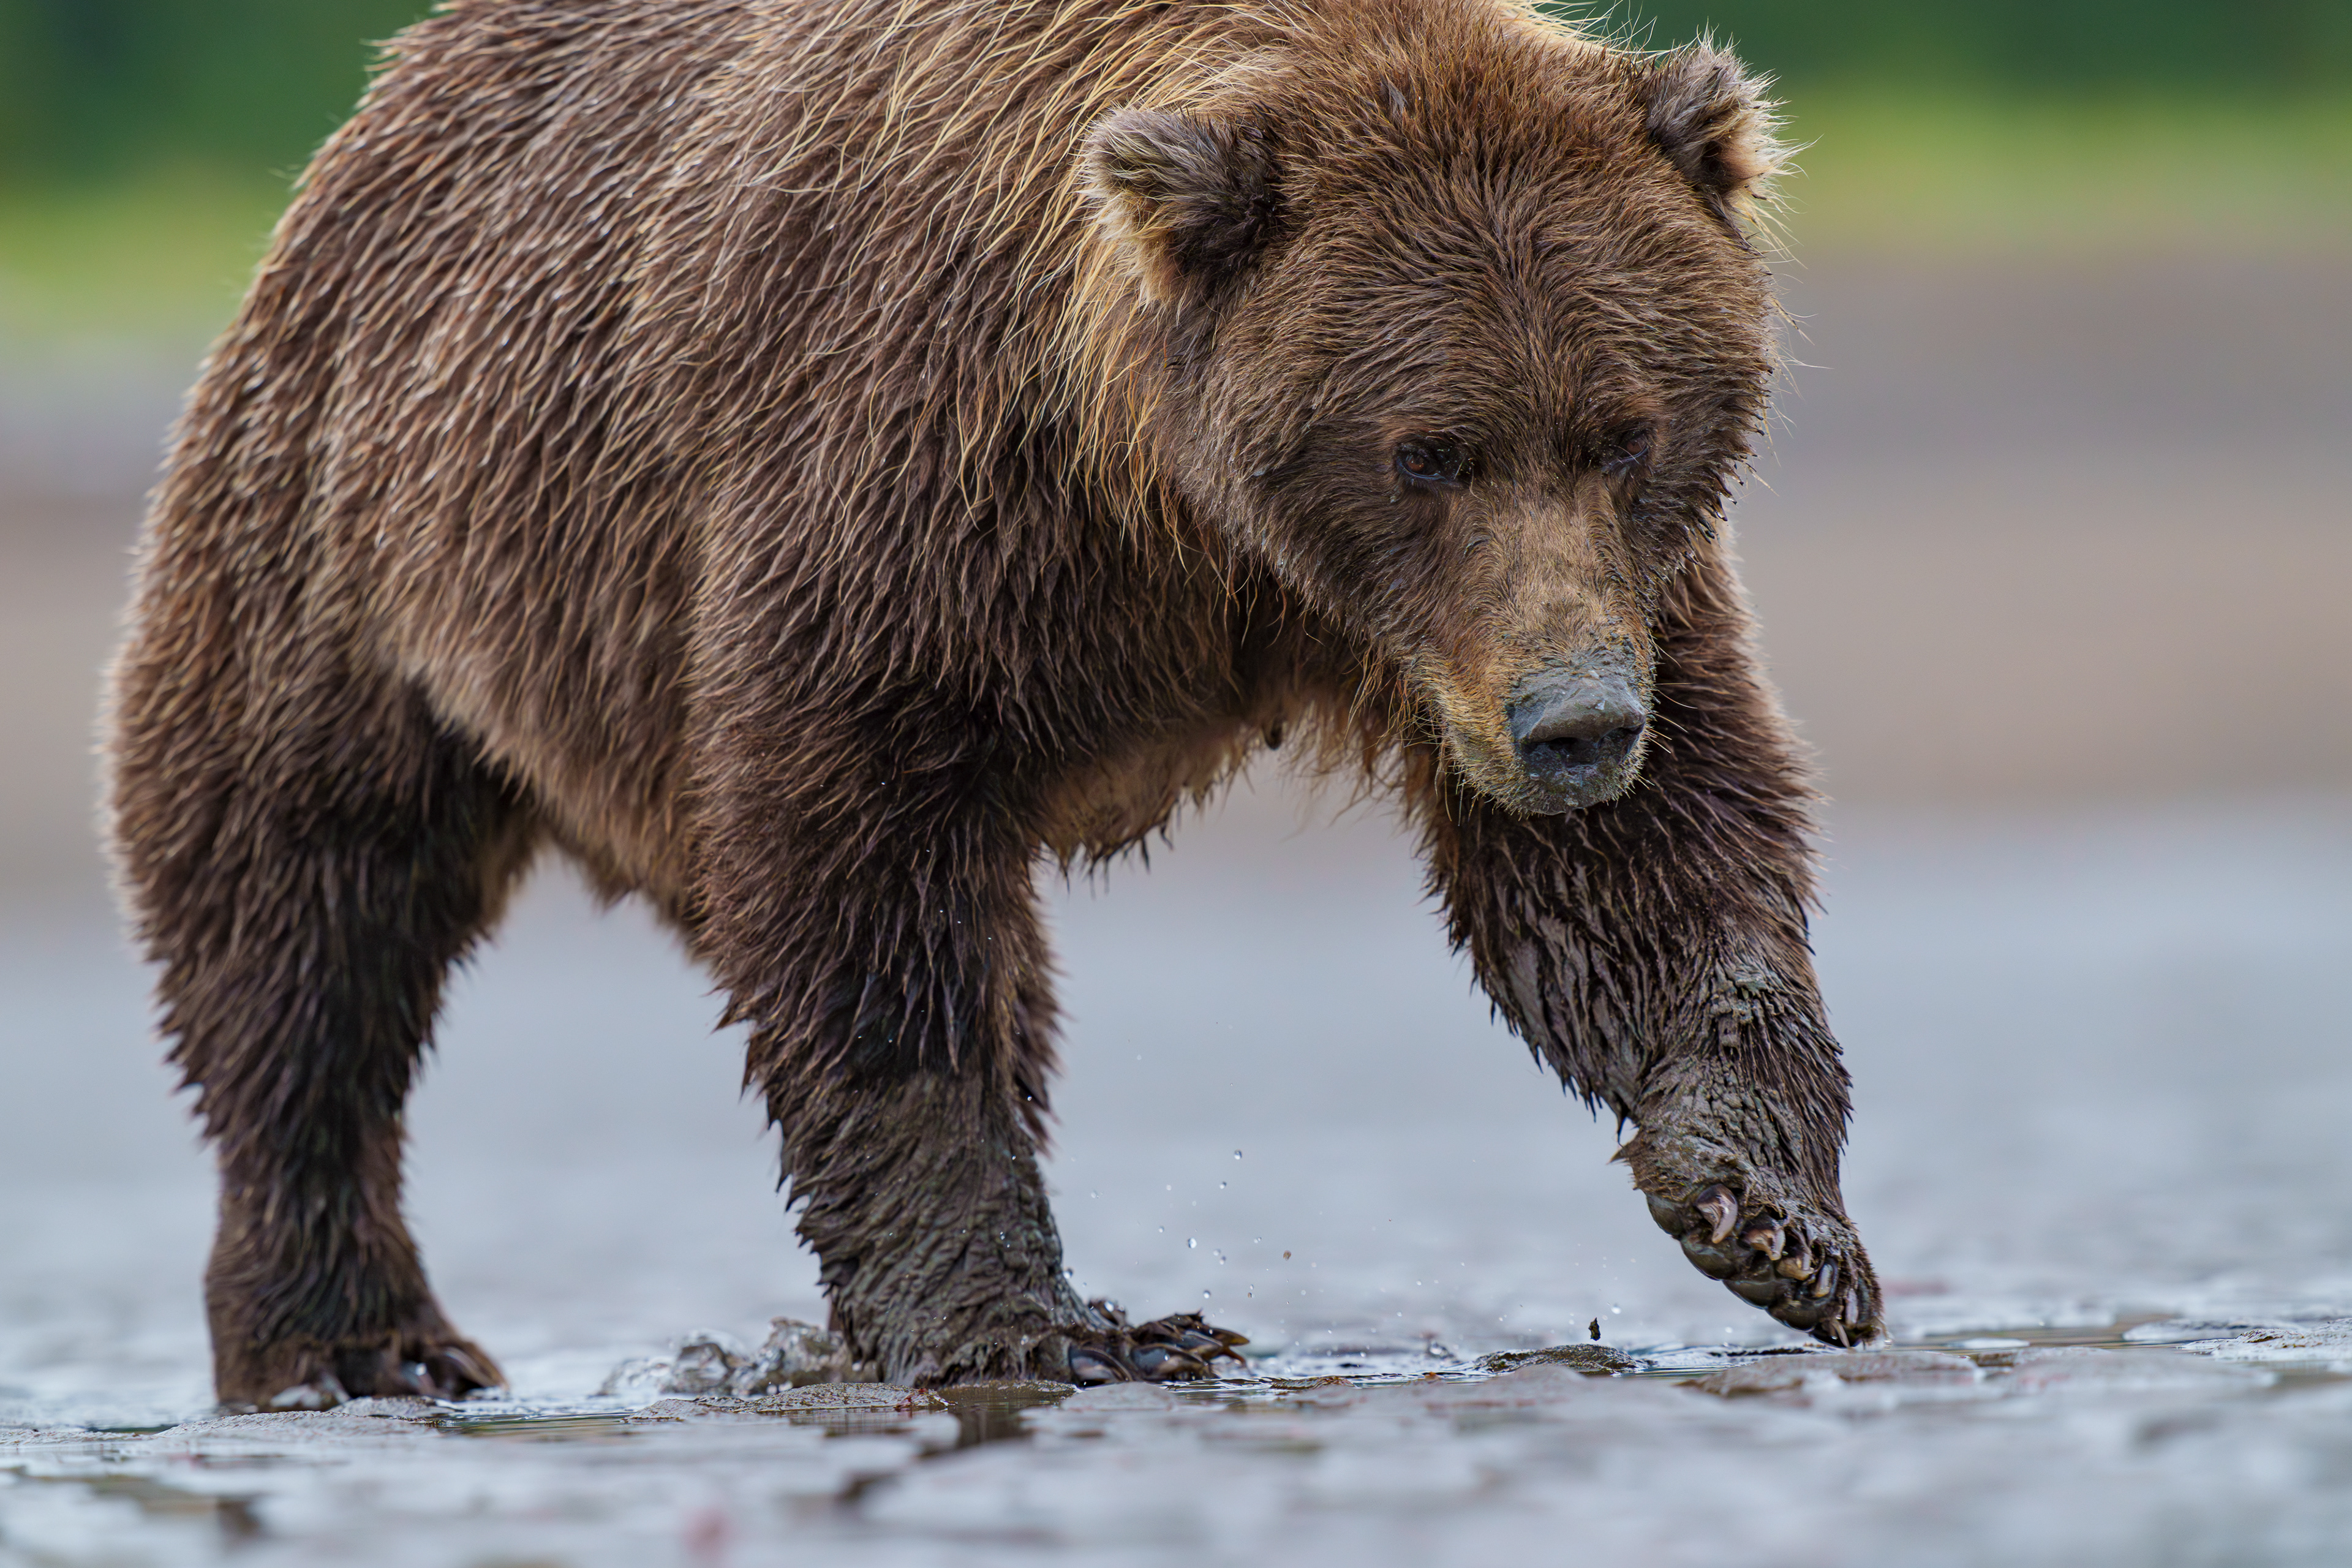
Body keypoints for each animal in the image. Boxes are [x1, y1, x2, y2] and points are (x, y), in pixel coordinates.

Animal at [105, 0, 1883, 1408]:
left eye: (1621, 428)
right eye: (1426, 449)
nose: (1572, 726)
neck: (1186, 524)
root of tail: (376, 109)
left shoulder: (1555, 606)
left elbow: (1640, 871)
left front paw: (1772, 1221)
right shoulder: (909, 499)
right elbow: (876, 905)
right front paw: (1013, 1323)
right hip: (352, 531)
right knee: (307, 919)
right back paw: (355, 1339)